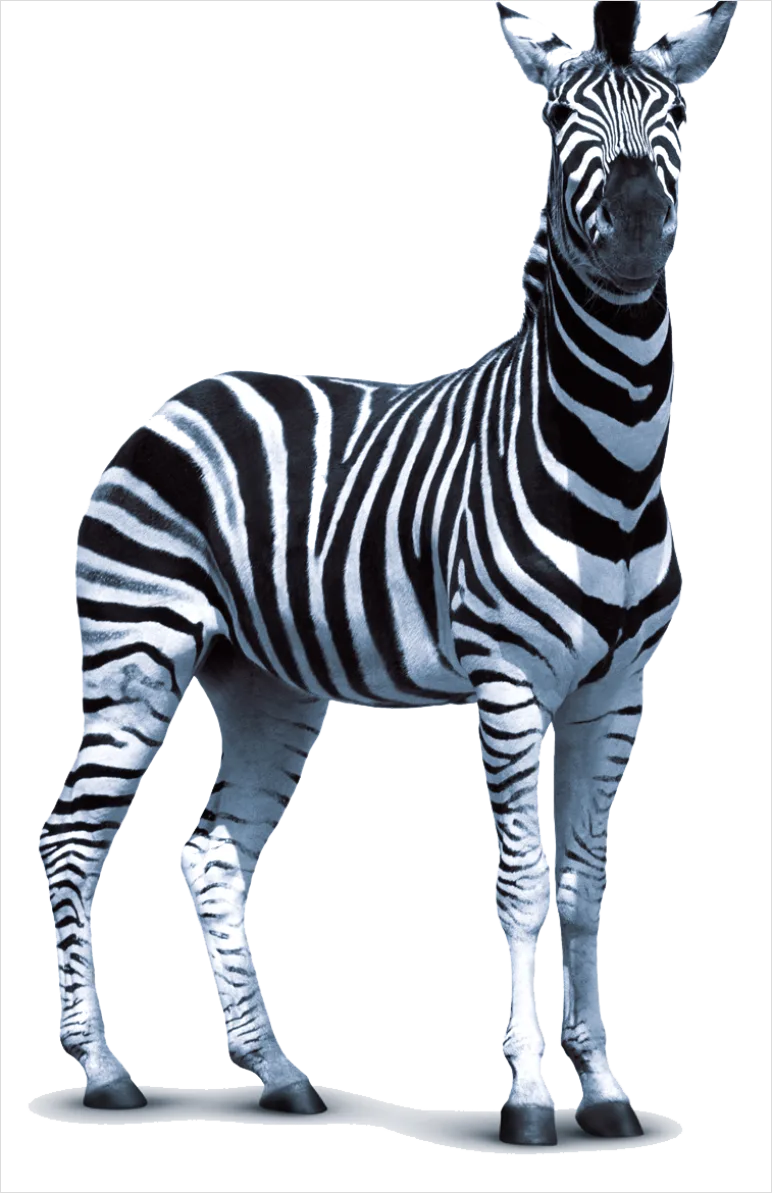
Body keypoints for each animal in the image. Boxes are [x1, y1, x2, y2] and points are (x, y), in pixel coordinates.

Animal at [39, 1, 737, 1146]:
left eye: (674, 114)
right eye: (558, 114)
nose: (639, 229)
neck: (612, 455)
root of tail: (182, 396)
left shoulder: (619, 691)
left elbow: (584, 885)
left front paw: (604, 1089)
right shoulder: (508, 682)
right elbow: (523, 881)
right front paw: (528, 1099)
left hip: (264, 681)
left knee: (213, 854)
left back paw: (278, 1073)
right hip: (137, 644)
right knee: (72, 837)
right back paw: (102, 1069)